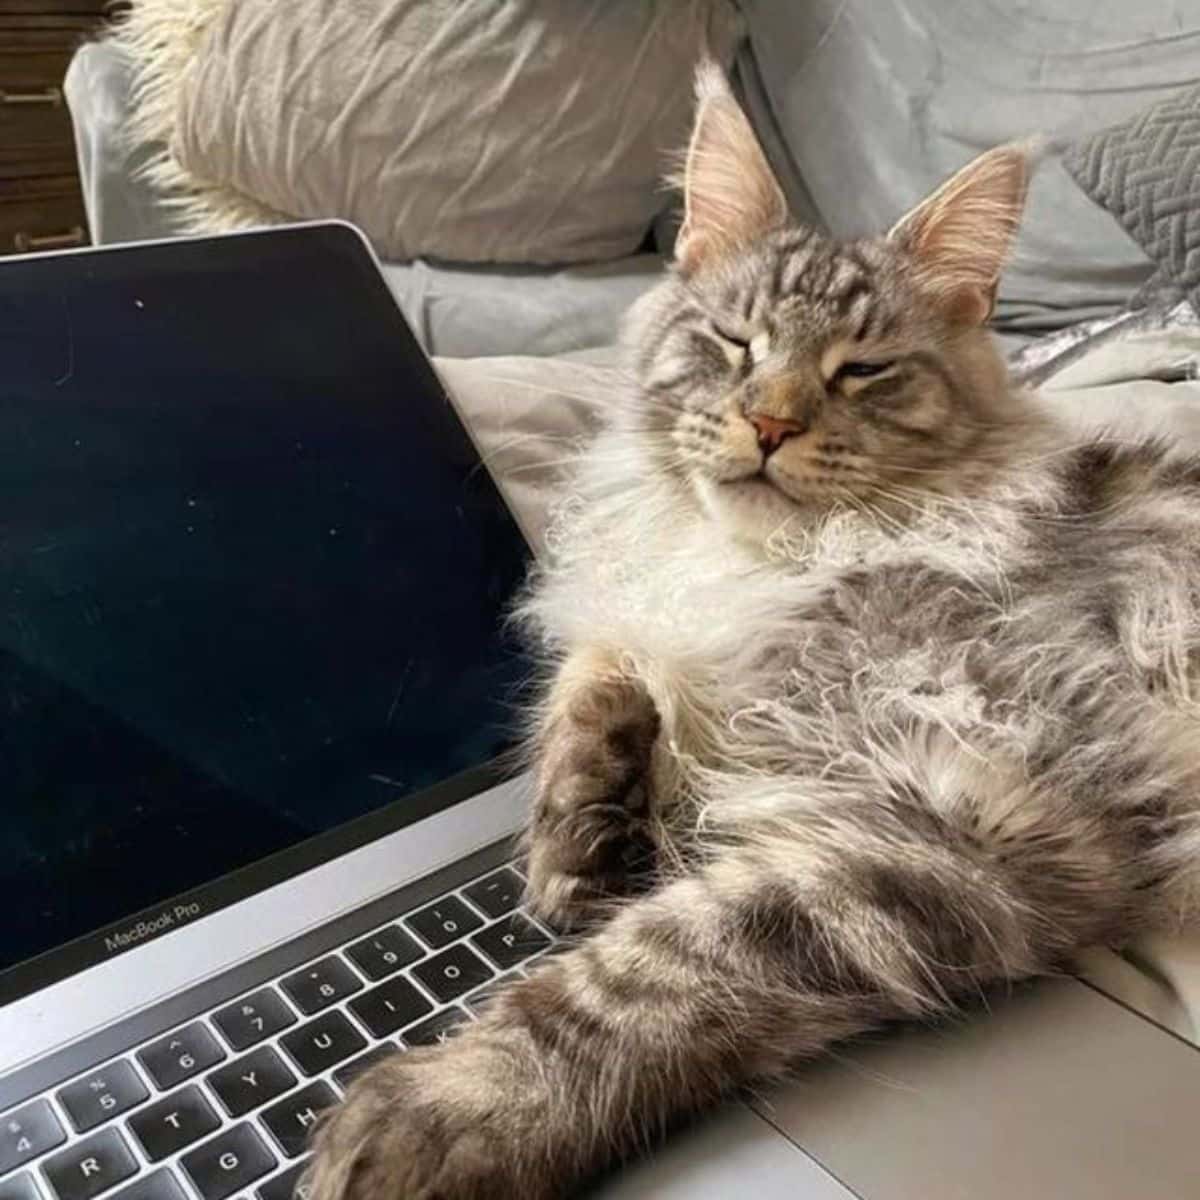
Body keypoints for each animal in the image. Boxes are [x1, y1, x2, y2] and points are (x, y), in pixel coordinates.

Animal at [307, 60, 1200, 1195]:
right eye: (735, 343)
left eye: (862, 369)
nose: (771, 423)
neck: (768, 568)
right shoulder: (641, 607)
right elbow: (597, 672)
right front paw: (582, 843)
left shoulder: (989, 812)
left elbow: (654, 964)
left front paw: (453, 1103)